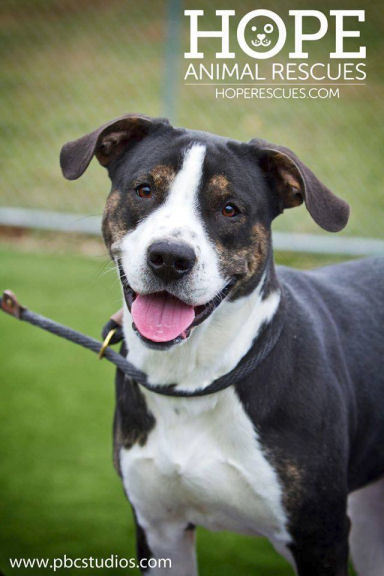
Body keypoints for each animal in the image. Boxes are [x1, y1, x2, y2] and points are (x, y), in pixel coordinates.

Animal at [60, 113, 384, 576]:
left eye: (230, 209)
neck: (192, 380)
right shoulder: (159, 529)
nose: (169, 257)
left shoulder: (320, 539)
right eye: (145, 190)